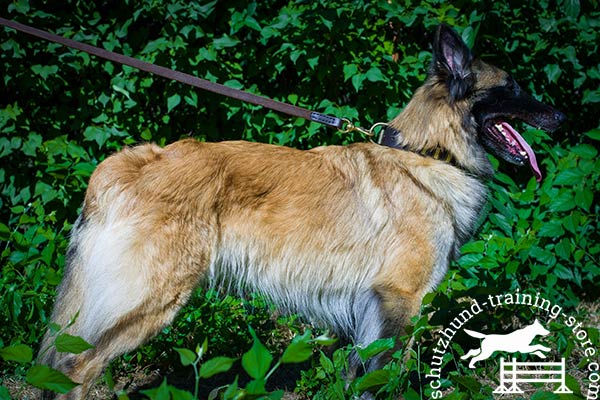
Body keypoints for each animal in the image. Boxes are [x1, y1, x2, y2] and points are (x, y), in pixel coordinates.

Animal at [39, 24, 564, 396]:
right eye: (513, 87)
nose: (562, 117)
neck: (431, 155)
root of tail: (125, 164)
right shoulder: (400, 299)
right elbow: (386, 376)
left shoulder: (373, 311)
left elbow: (360, 376)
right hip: (151, 300)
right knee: (77, 368)